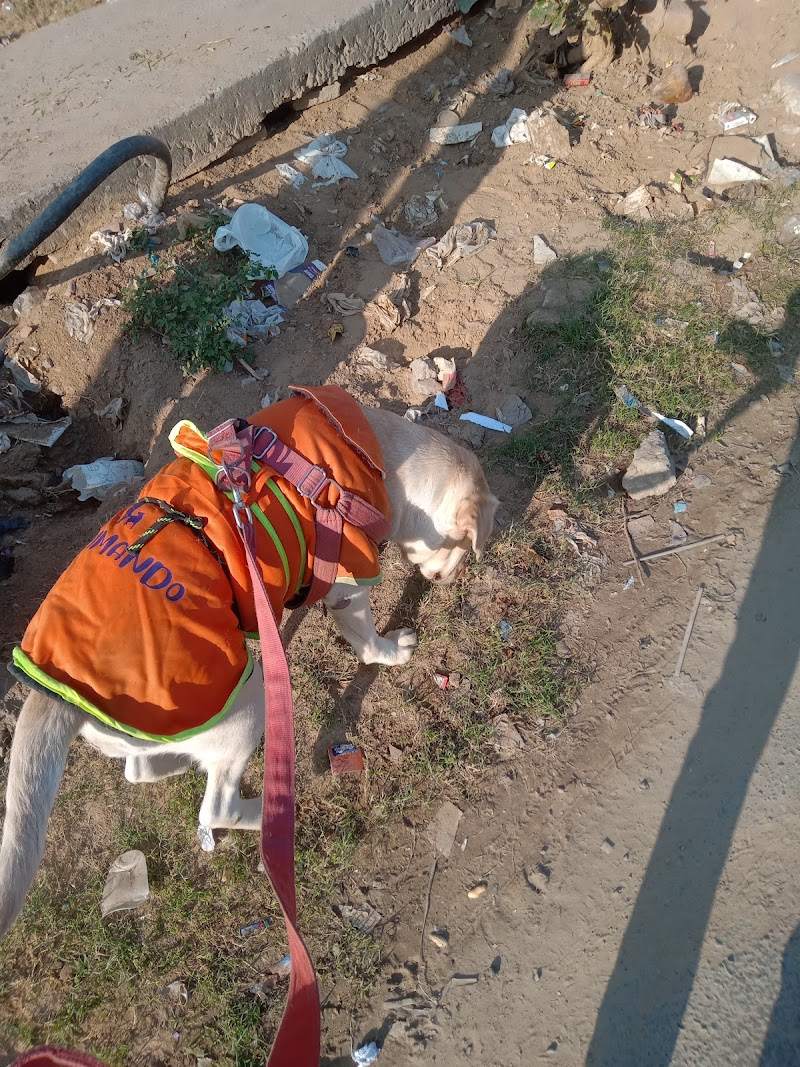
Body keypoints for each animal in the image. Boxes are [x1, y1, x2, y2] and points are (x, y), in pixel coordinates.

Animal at [0, 390, 498, 938]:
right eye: (466, 545)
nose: (455, 577)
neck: (380, 459)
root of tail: (51, 694)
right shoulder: (349, 584)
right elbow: (367, 643)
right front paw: (392, 650)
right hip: (252, 692)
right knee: (215, 808)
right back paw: (272, 811)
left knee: (141, 768)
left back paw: (180, 761)